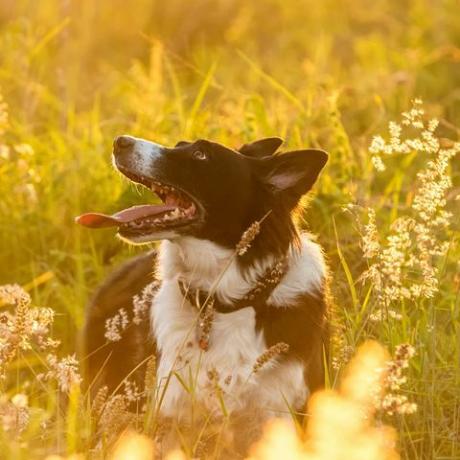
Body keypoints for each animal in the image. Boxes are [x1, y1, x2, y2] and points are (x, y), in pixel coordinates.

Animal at [80, 135, 330, 452]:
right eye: (179, 145)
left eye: (200, 155)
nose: (120, 140)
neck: (221, 301)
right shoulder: (171, 412)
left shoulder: (280, 407)